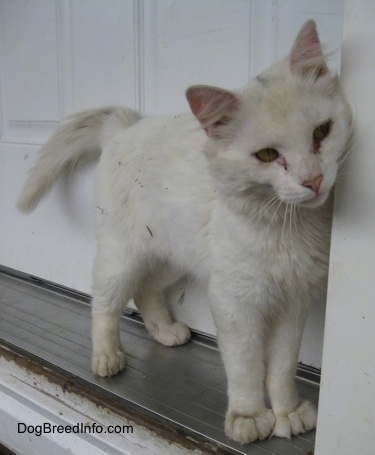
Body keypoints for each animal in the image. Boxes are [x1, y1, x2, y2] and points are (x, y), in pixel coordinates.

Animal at [16, 21, 352, 446]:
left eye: (322, 132)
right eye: (267, 156)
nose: (313, 180)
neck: (284, 226)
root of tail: (126, 127)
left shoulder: (294, 303)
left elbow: (280, 367)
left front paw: (287, 412)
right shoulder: (234, 303)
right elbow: (246, 367)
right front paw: (249, 417)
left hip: (174, 257)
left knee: (145, 292)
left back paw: (165, 331)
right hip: (122, 256)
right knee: (105, 303)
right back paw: (107, 357)